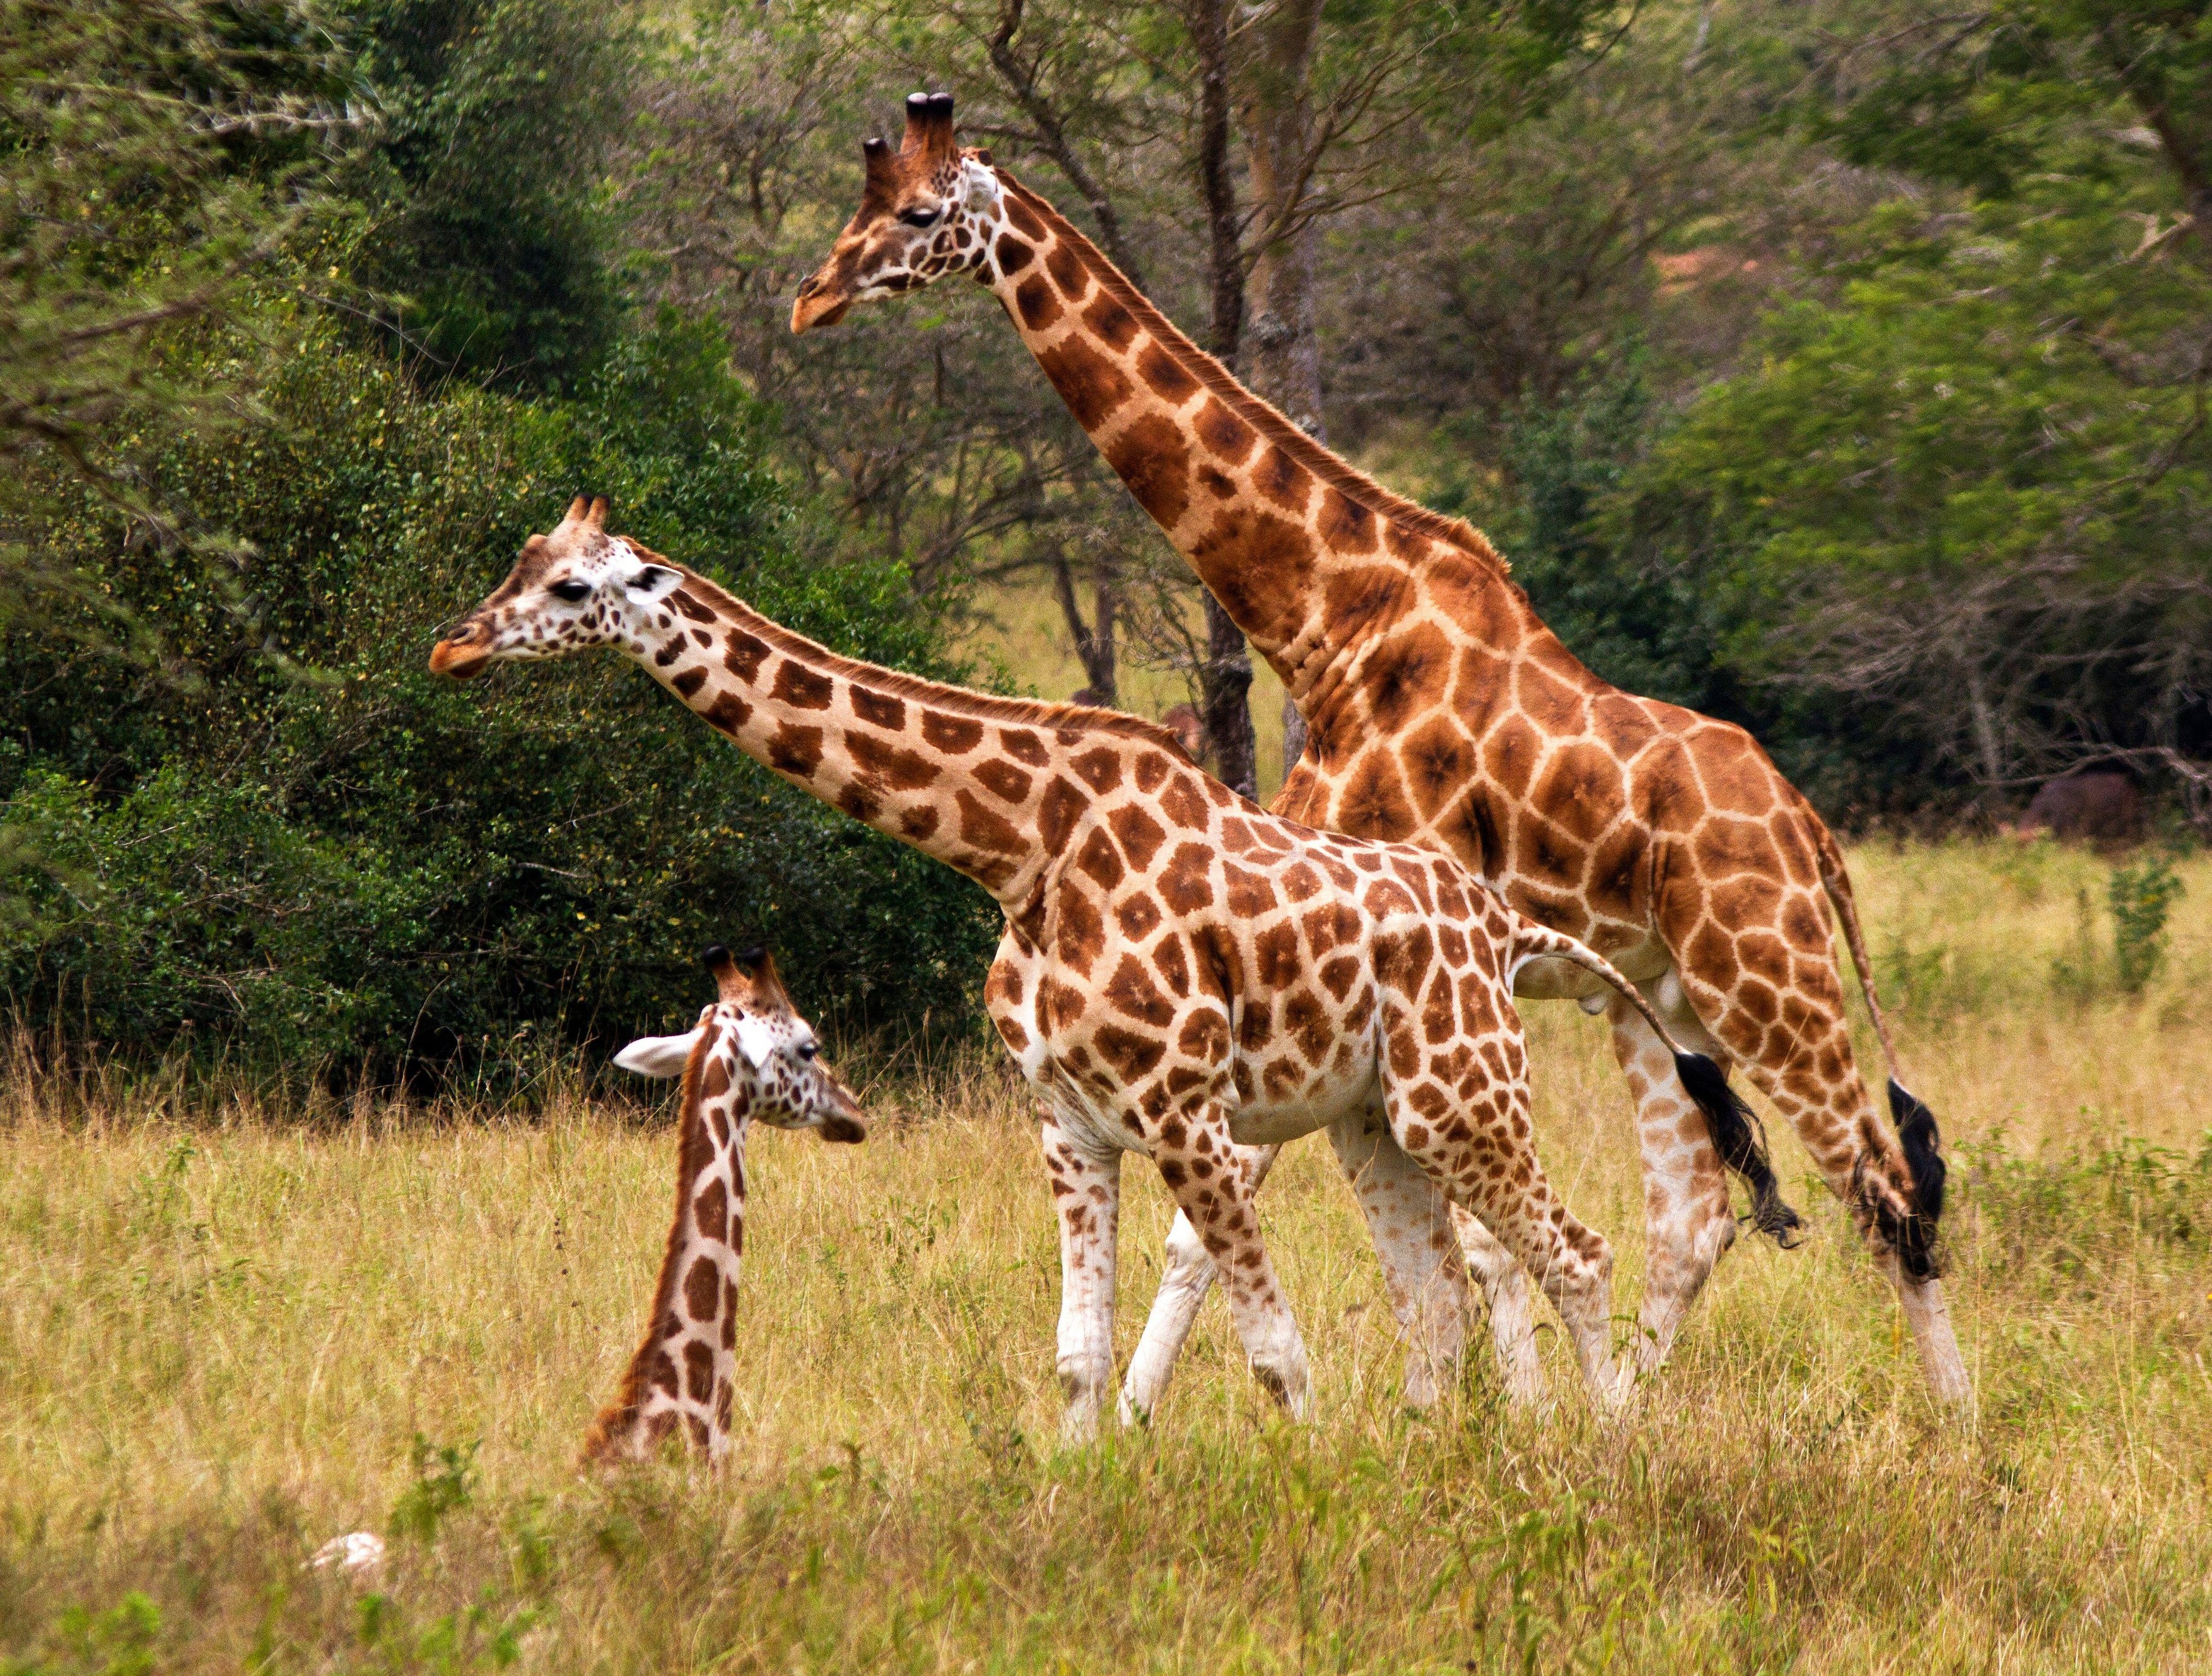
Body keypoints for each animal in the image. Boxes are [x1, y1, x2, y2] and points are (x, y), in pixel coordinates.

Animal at [789, 92, 1969, 1412]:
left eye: (918, 214)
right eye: (857, 202)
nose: (814, 297)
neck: (1329, 618)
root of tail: (1810, 831)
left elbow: (1261, 1229)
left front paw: (1159, 1419)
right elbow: (1389, 1237)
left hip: (1769, 980)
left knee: (1883, 1187)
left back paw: (1953, 1430)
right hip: (1663, 1000)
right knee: (1696, 1211)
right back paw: (1633, 1409)